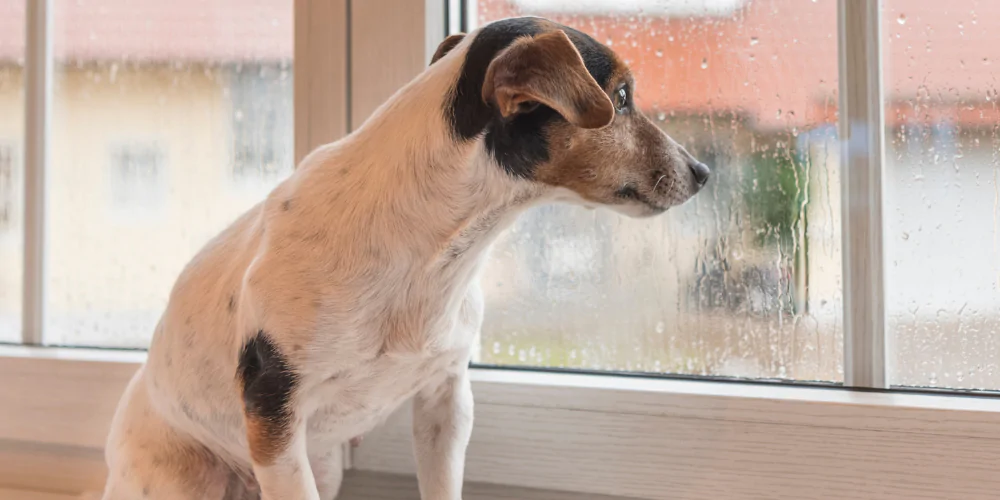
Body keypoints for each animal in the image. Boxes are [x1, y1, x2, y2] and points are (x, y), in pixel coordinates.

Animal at [101, 15, 712, 500]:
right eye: (623, 97)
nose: (704, 172)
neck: (428, 249)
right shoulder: (274, 418)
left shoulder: (446, 400)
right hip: (188, 479)